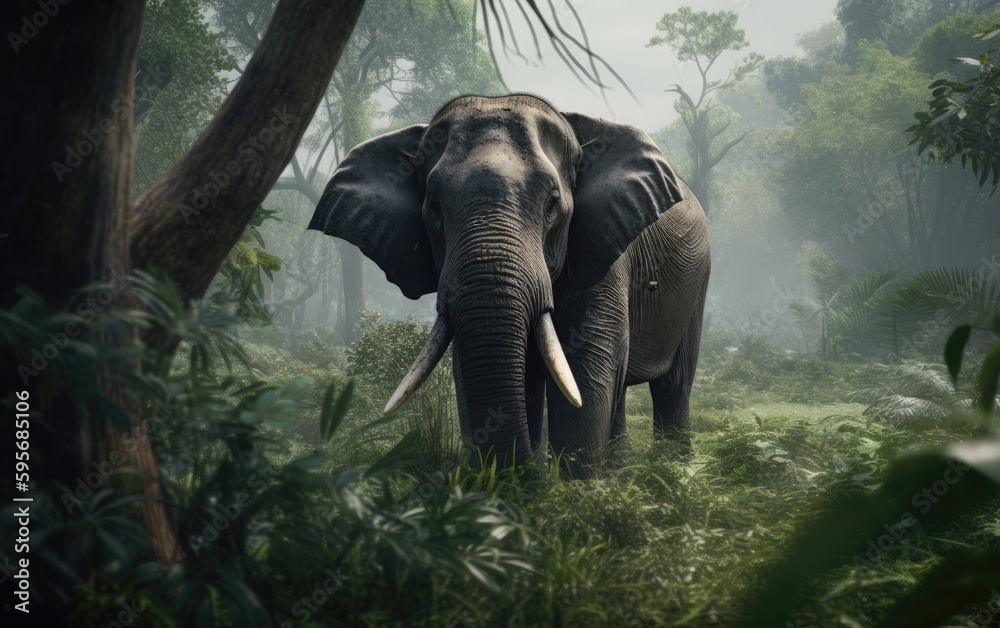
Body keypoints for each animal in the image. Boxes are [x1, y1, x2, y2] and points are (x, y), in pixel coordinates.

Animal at [308, 93, 710, 477]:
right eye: (434, 207)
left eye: (552, 204)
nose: (527, 470)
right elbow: (479, 369)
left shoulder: (602, 249)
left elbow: (587, 362)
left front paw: (577, 490)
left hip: (699, 277)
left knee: (673, 383)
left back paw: (675, 467)